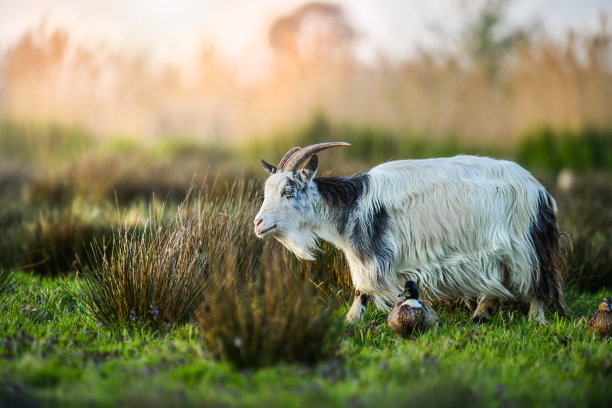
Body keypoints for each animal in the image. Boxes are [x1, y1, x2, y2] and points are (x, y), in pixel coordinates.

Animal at [253, 142, 568, 324]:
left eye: (288, 191)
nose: (258, 223)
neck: (353, 204)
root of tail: (540, 192)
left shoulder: (374, 255)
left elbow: (362, 290)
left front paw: (350, 322)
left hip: (523, 245)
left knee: (537, 280)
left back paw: (536, 320)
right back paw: (481, 314)